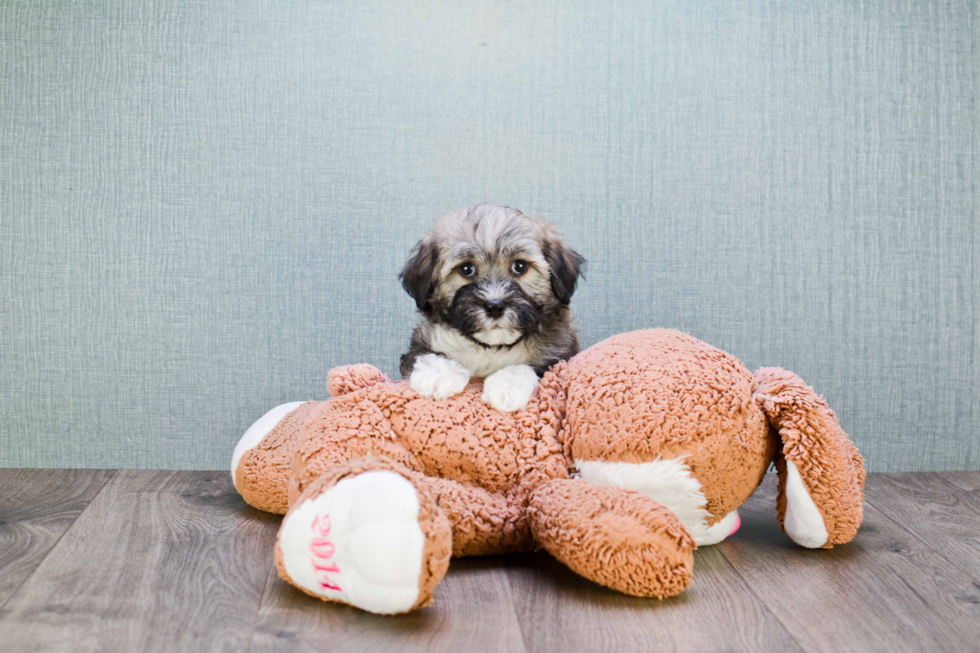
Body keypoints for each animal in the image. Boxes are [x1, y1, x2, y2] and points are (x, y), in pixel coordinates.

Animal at [396, 201, 580, 410]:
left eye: (520, 266)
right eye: (466, 269)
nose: (495, 307)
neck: (491, 347)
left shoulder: (561, 355)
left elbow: (535, 367)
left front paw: (508, 386)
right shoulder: (423, 339)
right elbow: (422, 353)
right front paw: (438, 373)